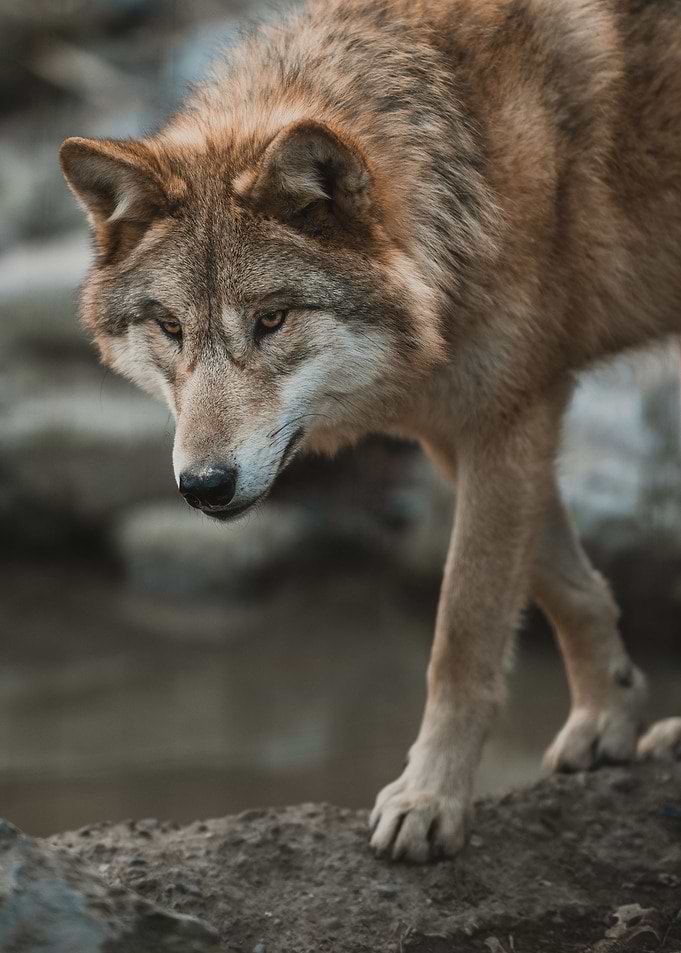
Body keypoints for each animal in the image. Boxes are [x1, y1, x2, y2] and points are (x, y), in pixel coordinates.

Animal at [60, 0, 681, 863]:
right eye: (171, 327)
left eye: (271, 319)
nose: (203, 485)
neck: (467, 159)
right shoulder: (467, 426)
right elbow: (564, 584)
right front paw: (606, 716)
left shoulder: (508, 417)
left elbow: (462, 634)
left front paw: (430, 799)